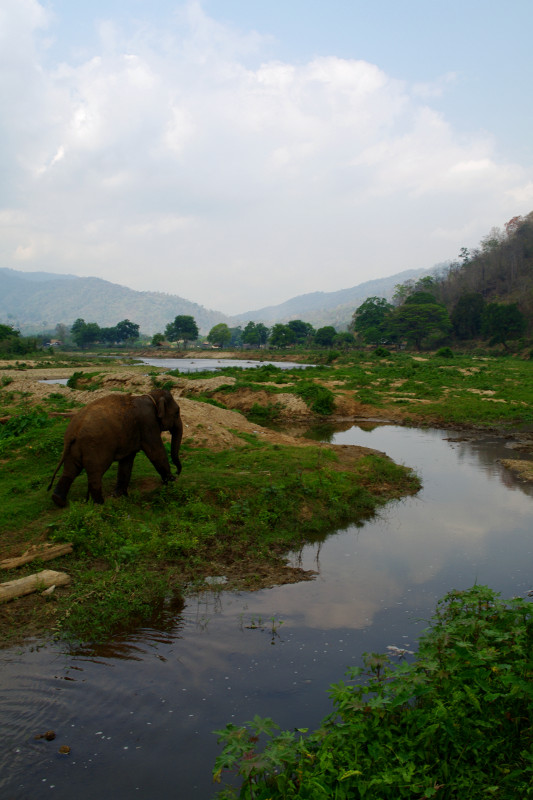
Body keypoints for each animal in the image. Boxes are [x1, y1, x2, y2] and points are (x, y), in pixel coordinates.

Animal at [47, 388, 183, 506]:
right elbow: (156, 453)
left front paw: (119, 495)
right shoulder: (148, 423)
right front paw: (172, 481)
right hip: (95, 448)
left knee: (70, 470)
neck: (150, 396)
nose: (177, 472)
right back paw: (100, 504)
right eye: (177, 413)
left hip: (73, 449)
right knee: (95, 474)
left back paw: (58, 500)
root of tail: (73, 431)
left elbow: (127, 461)